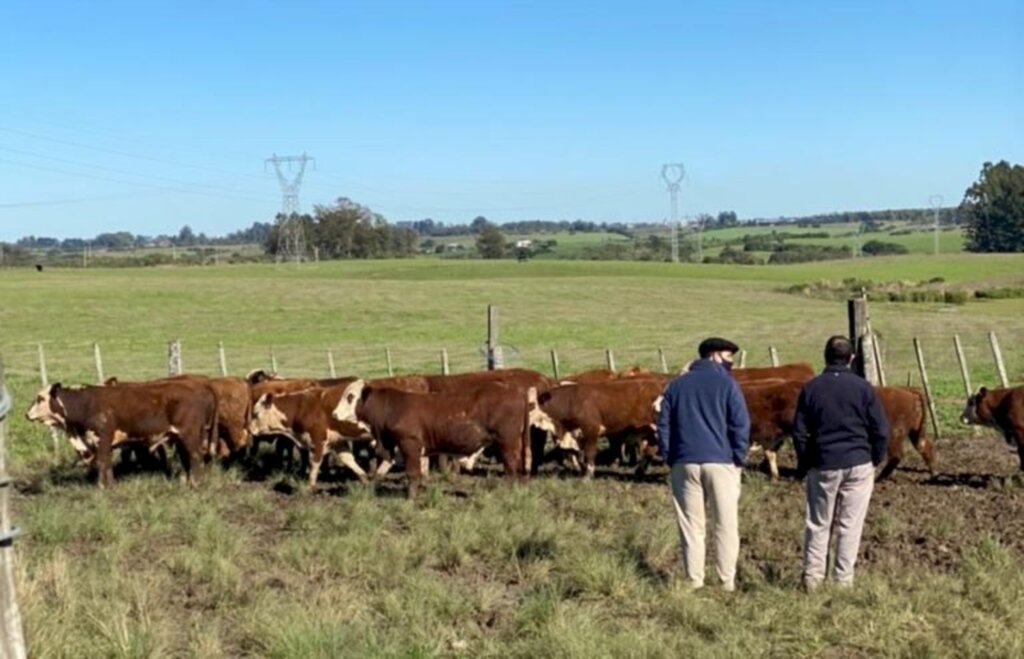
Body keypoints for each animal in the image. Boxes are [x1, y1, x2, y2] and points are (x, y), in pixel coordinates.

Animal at [25, 378, 216, 487]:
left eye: (40, 398)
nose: (27, 414)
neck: (86, 403)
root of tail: (202, 387)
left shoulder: (101, 438)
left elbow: (102, 463)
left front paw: (103, 487)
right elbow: (107, 464)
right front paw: (109, 484)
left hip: (189, 434)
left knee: (196, 457)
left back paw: (195, 483)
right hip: (181, 437)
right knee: (188, 459)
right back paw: (187, 481)